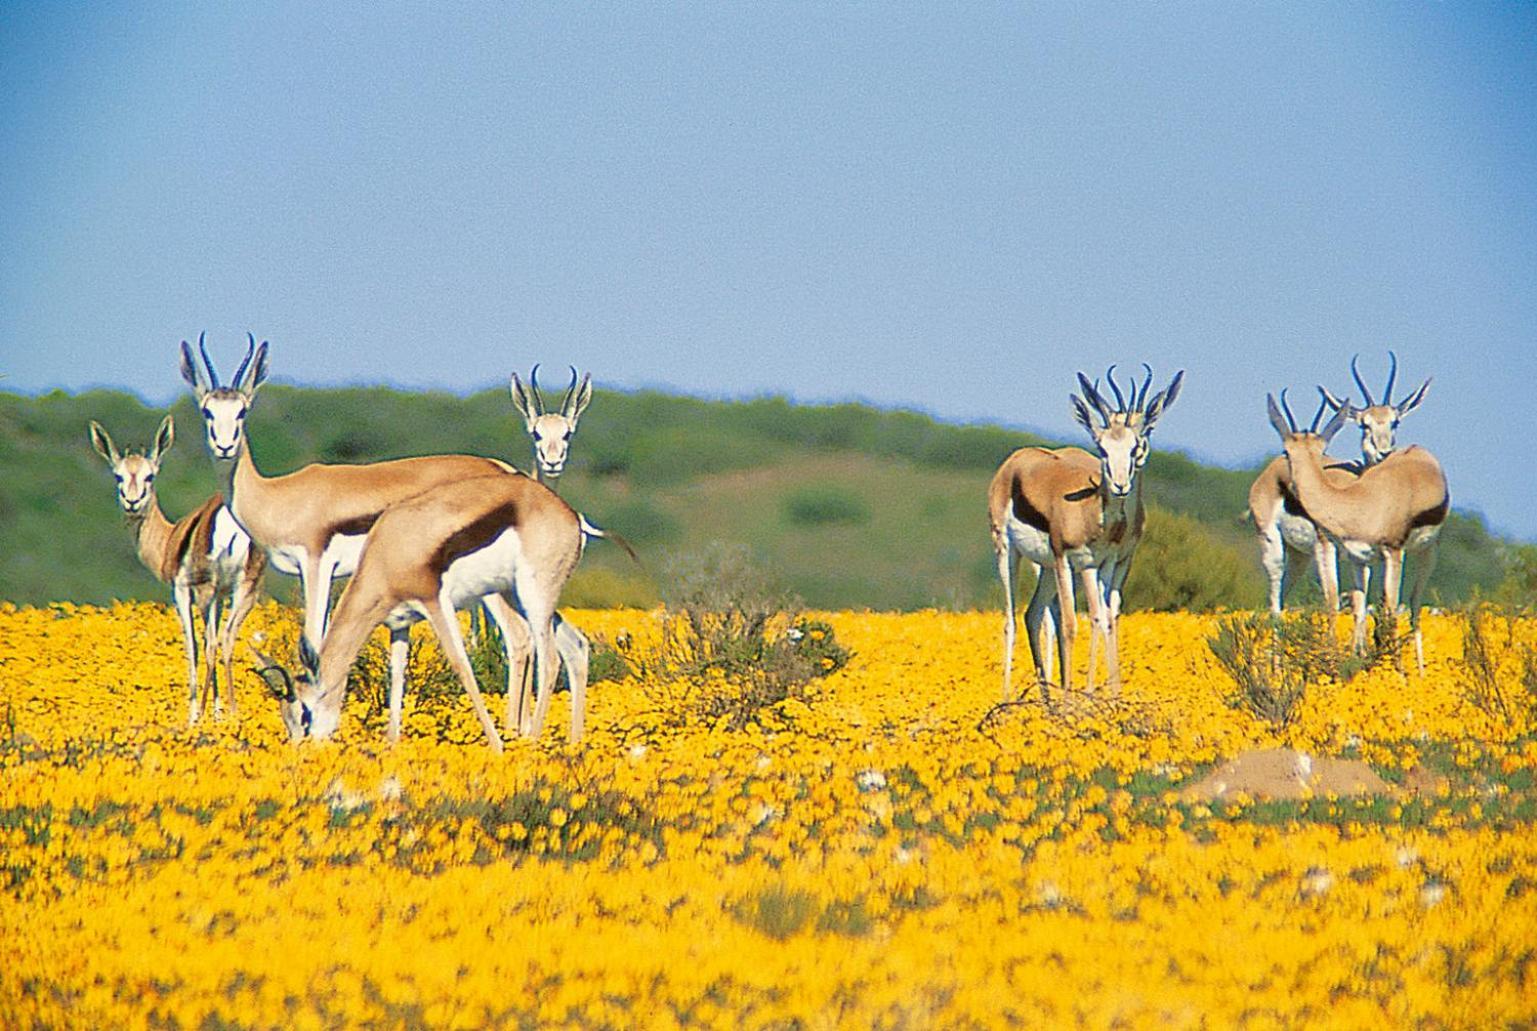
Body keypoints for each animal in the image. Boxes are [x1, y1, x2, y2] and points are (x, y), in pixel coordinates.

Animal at [87, 414, 264, 722]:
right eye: (119, 475)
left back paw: (200, 714)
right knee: (227, 638)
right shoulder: (221, 596)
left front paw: (196, 714)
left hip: (208, 592)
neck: (170, 538)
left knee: (210, 643)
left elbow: (192, 646)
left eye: (150, 476)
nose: (132, 502)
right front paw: (217, 713)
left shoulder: (182, 592)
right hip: (245, 591)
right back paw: (232, 713)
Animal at [258, 473, 580, 749]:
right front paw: (391, 744)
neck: (387, 552)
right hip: (521, 598)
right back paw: (575, 743)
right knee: (576, 644)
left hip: (532, 596)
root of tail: (568, 513)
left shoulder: (435, 603)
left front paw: (497, 746)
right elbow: (397, 673)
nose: (304, 751)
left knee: (550, 660)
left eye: (305, 714)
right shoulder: (400, 623)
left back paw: (531, 741)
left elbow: (461, 666)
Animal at [989, 368, 1180, 700]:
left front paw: (1108, 696)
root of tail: (1016, 460)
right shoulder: (1069, 560)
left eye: (1136, 442)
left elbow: (1105, 617)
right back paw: (1007, 700)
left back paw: (1049, 700)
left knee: (1034, 614)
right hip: (1010, 553)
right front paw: (1078, 699)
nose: (1120, 484)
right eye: (1102, 448)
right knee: (1012, 620)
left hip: (1047, 568)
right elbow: (1072, 623)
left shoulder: (1110, 562)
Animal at [1266, 391, 1444, 672]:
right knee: (1278, 601)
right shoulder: (1358, 557)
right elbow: (1357, 607)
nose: (1289, 489)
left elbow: (1389, 611)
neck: (1360, 502)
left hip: (1427, 551)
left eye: (1321, 452)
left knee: (1414, 605)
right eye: (1288, 450)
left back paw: (1419, 672)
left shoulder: (1392, 552)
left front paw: (1396, 673)